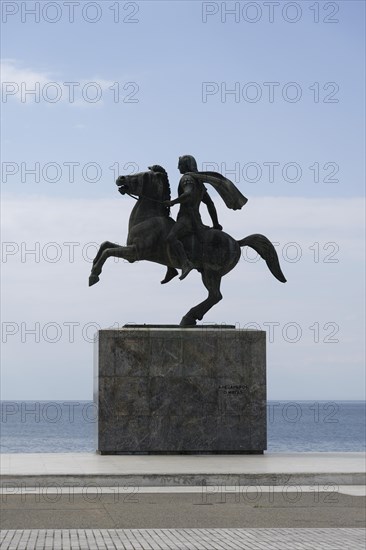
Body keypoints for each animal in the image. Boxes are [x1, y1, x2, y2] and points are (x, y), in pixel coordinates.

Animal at [89, 166, 286, 326]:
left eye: (143, 175)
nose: (120, 178)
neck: (149, 217)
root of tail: (237, 242)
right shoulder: (130, 251)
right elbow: (105, 245)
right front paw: (92, 268)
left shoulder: (135, 253)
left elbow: (108, 251)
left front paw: (94, 276)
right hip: (210, 273)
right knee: (215, 296)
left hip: (210, 272)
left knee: (215, 296)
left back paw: (188, 316)